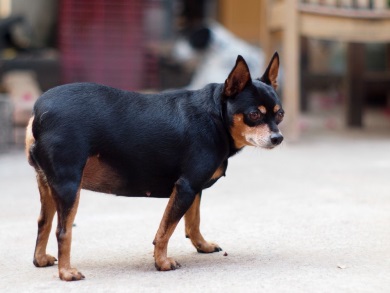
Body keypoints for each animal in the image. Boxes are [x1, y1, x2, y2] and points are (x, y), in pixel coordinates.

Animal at [26, 51, 284, 280]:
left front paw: (202, 245)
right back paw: (66, 273)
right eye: (254, 115)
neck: (217, 117)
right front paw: (162, 262)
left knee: (43, 222)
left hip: (48, 184)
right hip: (69, 186)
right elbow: (165, 230)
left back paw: (40, 259)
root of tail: (39, 112)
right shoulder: (186, 187)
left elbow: (193, 222)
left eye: (280, 114)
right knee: (63, 231)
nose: (278, 138)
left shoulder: (193, 188)